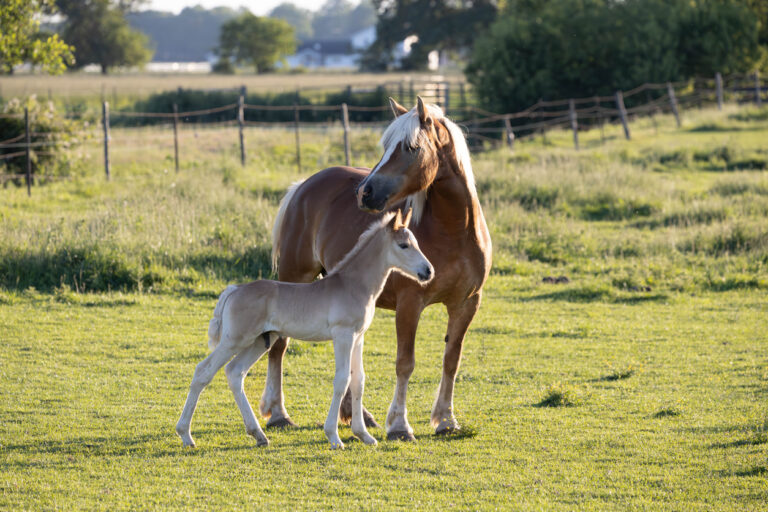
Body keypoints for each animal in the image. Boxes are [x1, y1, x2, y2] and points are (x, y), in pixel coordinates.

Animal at [176, 209, 433, 449]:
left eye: (416, 242)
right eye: (403, 245)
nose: (428, 271)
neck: (353, 284)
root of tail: (234, 290)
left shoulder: (358, 337)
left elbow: (358, 380)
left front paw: (364, 436)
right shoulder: (343, 335)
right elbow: (342, 380)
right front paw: (334, 437)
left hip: (259, 341)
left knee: (234, 372)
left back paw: (258, 435)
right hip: (234, 340)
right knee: (203, 371)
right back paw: (186, 435)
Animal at [264, 97, 492, 441]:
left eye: (410, 147)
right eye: (385, 145)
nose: (365, 192)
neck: (454, 229)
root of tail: (303, 186)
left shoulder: (467, 304)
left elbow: (451, 360)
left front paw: (446, 420)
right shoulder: (410, 304)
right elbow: (405, 362)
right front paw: (399, 425)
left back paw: (355, 415)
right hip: (294, 279)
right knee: (279, 346)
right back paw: (278, 414)